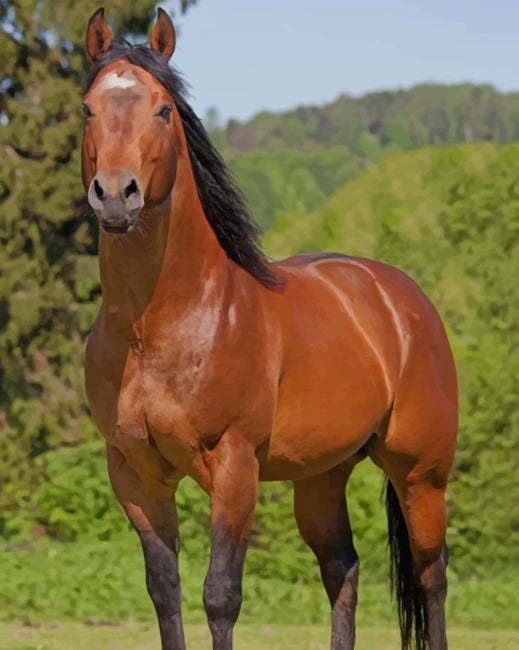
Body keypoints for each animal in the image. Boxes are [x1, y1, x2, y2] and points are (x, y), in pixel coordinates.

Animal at [82, 8, 457, 650]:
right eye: (87, 108)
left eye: (163, 109)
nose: (114, 194)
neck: (156, 328)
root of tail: (405, 299)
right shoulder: (135, 475)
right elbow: (165, 593)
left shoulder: (236, 468)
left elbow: (220, 596)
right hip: (322, 477)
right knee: (343, 570)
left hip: (421, 475)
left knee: (431, 577)